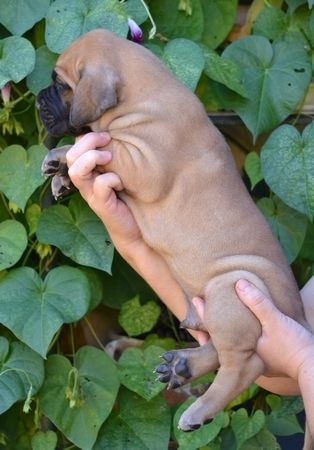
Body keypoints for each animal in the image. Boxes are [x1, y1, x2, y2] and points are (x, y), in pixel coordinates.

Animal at [37, 29, 306, 432]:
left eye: (59, 84)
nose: (39, 101)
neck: (143, 94)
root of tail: (300, 317)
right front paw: (62, 177)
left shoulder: (140, 161)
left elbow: (94, 143)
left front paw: (60, 157)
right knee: (224, 349)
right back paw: (185, 364)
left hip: (230, 289)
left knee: (245, 363)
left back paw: (199, 409)